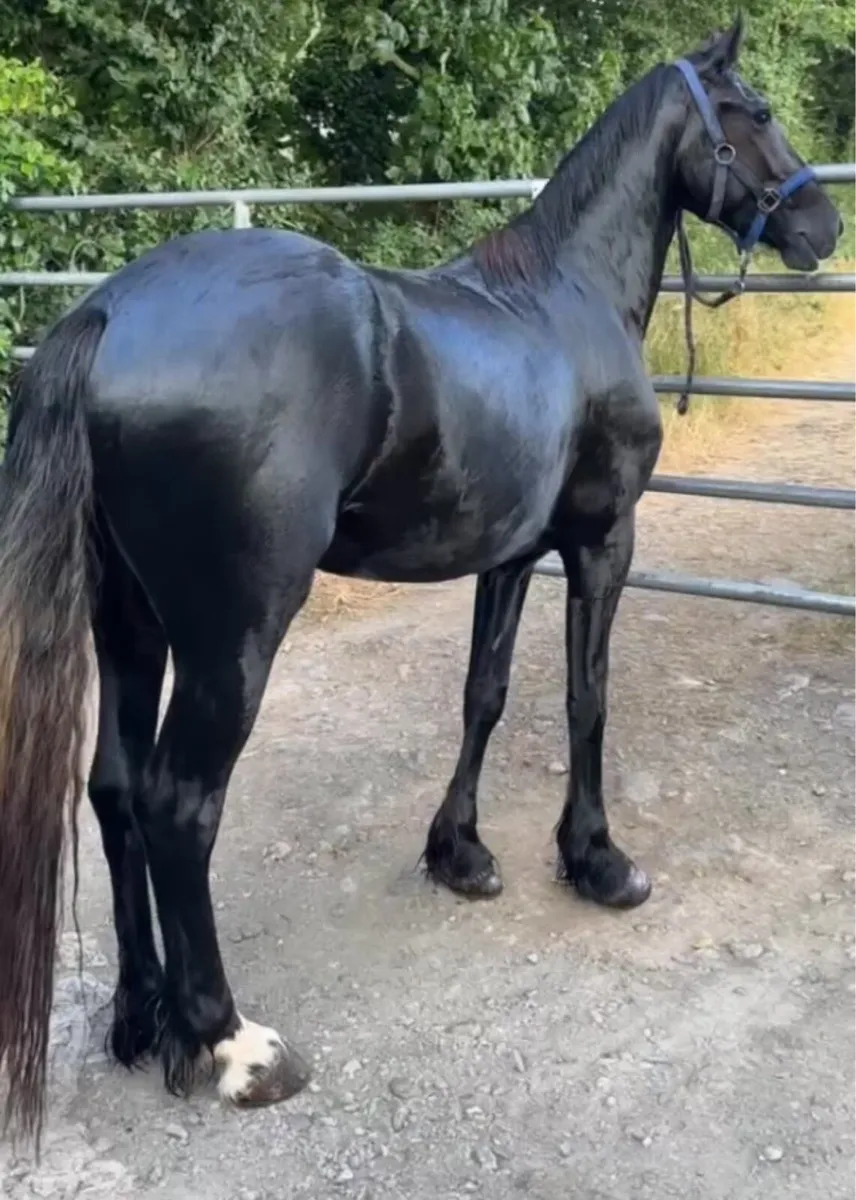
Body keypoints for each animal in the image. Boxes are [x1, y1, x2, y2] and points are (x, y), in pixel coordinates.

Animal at [0, 17, 841, 1145]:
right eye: (753, 112)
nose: (820, 222)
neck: (563, 298)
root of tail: (107, 314)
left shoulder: (510, 555)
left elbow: (483, 695)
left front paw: (461, 854)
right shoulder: (601, 544)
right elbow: (586, 699)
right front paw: (598, 861)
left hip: (128, 619)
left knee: (117, 789)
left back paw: (143, 1020)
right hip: (232, 636)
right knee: (181, 804)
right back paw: (229, 1043)